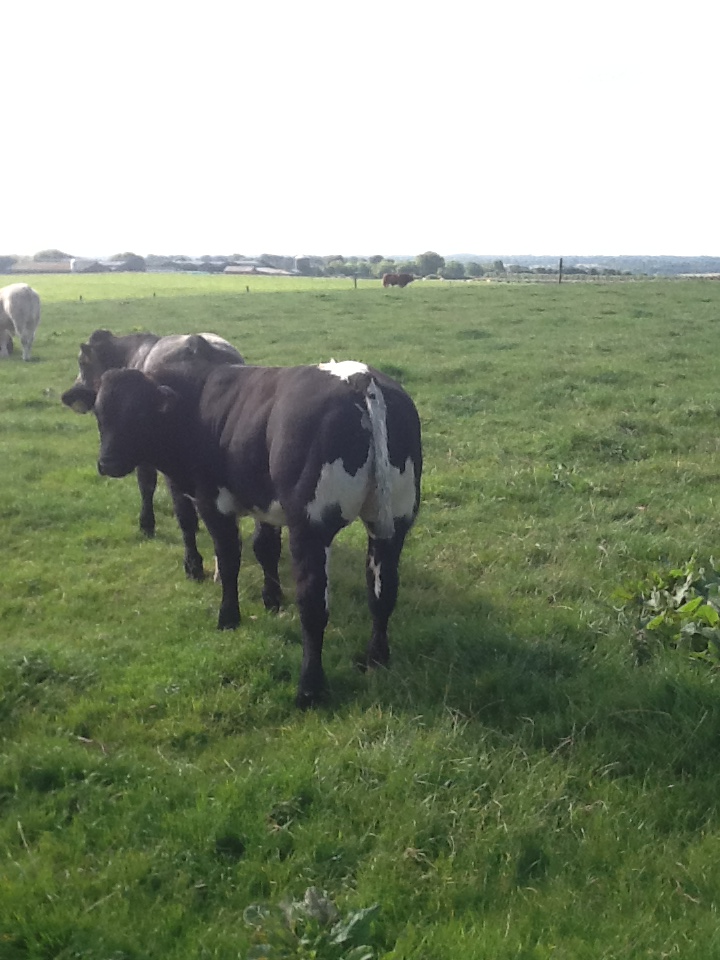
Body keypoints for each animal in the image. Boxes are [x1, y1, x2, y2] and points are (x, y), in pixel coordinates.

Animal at [62, 358, 423, 707]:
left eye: (139, 412)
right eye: (99, 413)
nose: (108, 462)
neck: (193, 402)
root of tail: (359, 377)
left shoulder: (212, 502)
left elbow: (228, 559)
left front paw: (228, 616)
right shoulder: (264, 502)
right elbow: (265, 548)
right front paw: (271, 599)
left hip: (311, 528)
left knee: (313, 605)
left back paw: (309, 689)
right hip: (393, 522)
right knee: (382, 592)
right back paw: (376, 658)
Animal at [63, 329, 245, 581]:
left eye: (82, 362)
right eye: (99, 414)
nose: (109, 464)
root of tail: (200, 345)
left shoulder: (150, 461)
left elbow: (147, 487)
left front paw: (147, 525)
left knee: (185, 516)